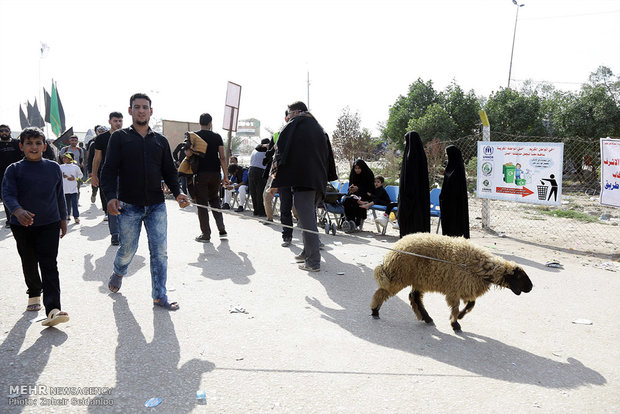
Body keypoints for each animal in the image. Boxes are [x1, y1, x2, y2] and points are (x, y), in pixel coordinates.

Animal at [368, 234, 532, 332]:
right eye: (520, 276)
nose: (531, 287)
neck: (480, 268)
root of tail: (392, 252)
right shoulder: (455, 289)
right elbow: (455, 307)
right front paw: (455, 323)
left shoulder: (465, 288)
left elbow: (471, 304)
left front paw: (460, 316)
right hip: (399, 276)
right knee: (382, 292)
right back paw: (375, 311)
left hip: (418, 279)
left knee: (414, 297)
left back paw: (427, 318)